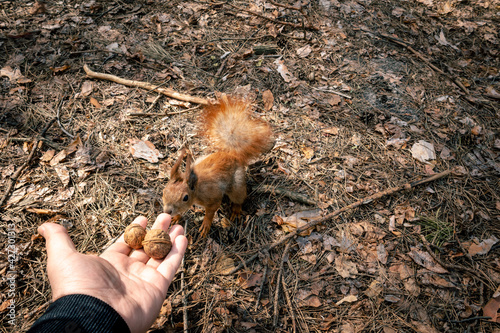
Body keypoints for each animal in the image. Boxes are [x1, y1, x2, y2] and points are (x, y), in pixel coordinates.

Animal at [162, 94, 274, 237]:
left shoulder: (213, 198)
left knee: (239, 197)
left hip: (236, 185)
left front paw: (205, 225)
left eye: (185, 198)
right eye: (164, 191)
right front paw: (176, 217)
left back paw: (236, 210)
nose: (167, 211)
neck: (196, 188)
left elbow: (210, 212)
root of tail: (232, 155)